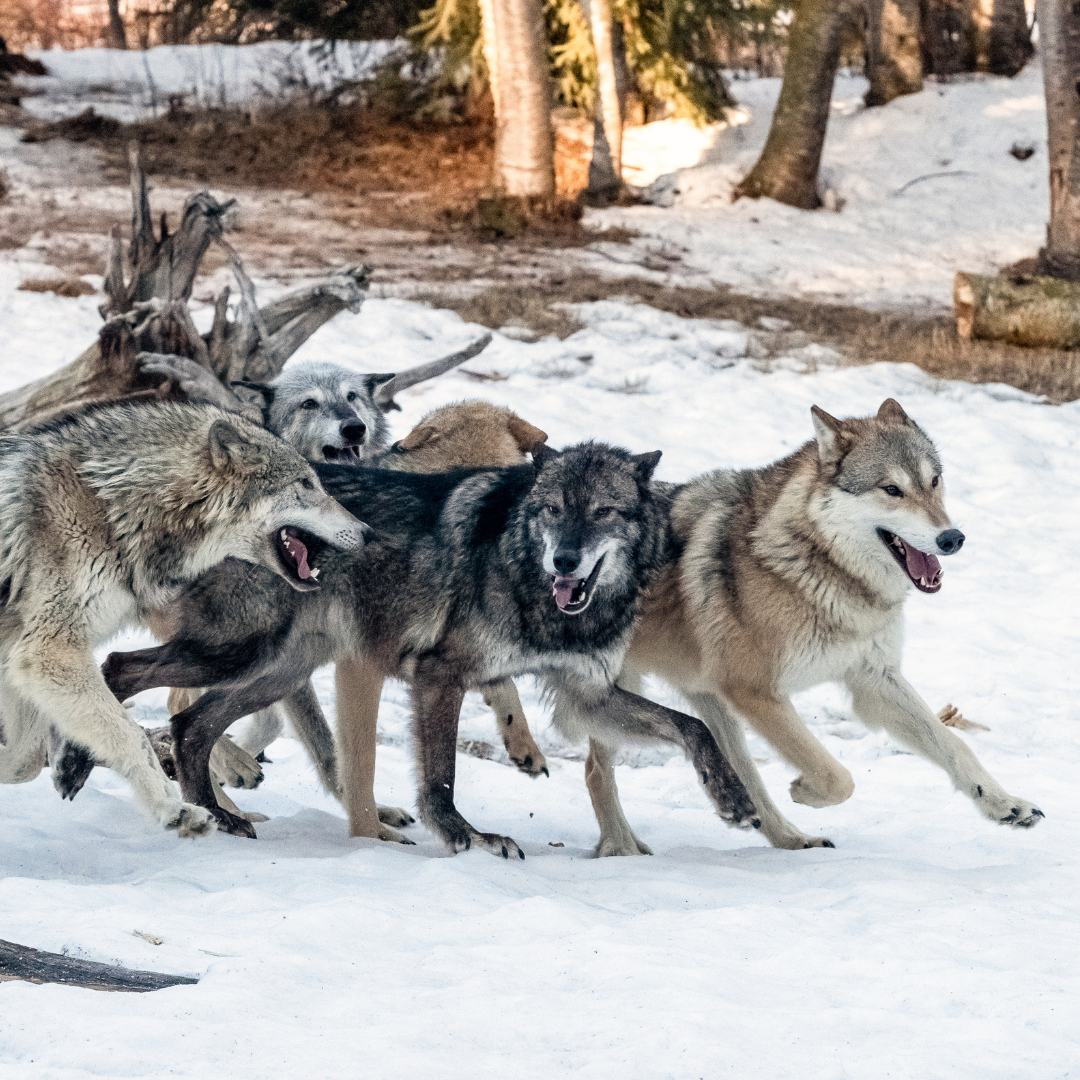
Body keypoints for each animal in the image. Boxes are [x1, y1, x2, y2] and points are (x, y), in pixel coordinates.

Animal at [0, 402, 367, 836]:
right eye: (307, 484)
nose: (368, 532)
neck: (109, 504)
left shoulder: (22, 655)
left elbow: (23, 761)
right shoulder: (47, 651)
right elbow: (130, 737)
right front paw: (174, 810)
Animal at [100, 442, 760, 854]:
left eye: (602, 512)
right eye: (552, 509)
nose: (565, 561)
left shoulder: (587, 697)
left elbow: (693, 726)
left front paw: (733, 799)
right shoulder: (441, 674)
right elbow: (441, 776)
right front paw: (470, 837)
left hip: (275, 671)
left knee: (190, 725)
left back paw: (221, 816)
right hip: (237, 652)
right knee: (119, 671)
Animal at [583, 399, 1044, 857]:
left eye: (934, 481)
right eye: (891, 490)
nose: (952, 538)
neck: (818, 567)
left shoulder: (875, 680)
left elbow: (955, 745)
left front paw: (1006, 805)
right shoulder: (755, 692)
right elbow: (838, 776)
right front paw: (803, 789)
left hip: (712, 705)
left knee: (745, 780)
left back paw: (792, 839)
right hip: (621, 695)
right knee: (594, 770)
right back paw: (621, 848)